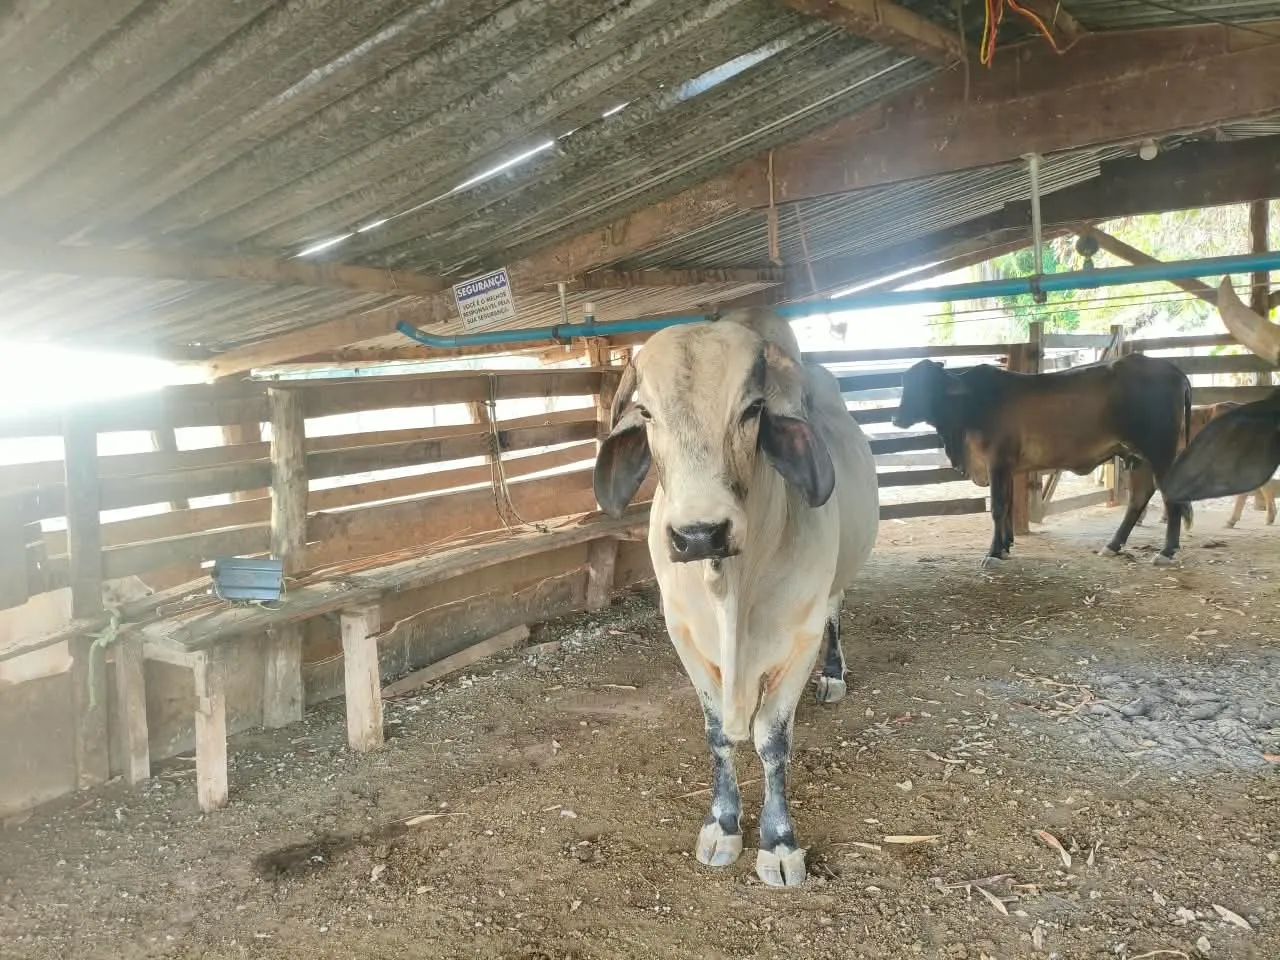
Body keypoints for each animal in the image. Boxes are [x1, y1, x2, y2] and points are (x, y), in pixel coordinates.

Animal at [593, 309, 878, 888]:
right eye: (646, 412)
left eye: (752, 409)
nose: (700, 534)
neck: (731, 590)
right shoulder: (684, 636)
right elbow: (719, 736)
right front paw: (723, 826)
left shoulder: (799, 638)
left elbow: (772, 741)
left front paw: (779, 843)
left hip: (833, 588)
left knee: (837, 613)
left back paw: (834, 676)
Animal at [893, 352, 1192, 566]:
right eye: (905, 383)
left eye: (926, 386)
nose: (896, 418)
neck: (969, 406)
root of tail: (1174, 371)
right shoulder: (1008, 468)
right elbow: (1008, 506)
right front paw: (1006, 546)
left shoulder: (997, 462)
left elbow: (998, 507)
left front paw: (993, 552)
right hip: (1137, 454)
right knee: (1139, 496)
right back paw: (1113, 545)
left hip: (1159, 450)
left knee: (1169, 496)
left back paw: (1166, 551)